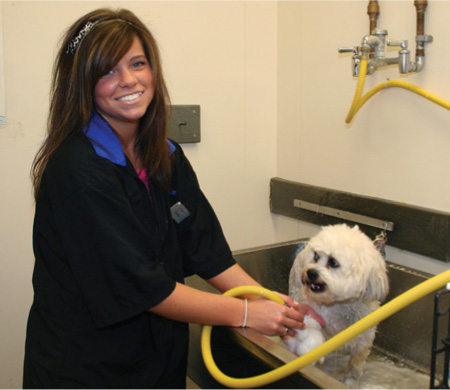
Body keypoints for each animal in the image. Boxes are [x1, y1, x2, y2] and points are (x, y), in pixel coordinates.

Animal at [286, 224, 388, 386]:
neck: (338, 305)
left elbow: (356, 362)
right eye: (316, 256)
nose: (310, 273)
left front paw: (350, 381)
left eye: (333, 262)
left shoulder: (365, 336)